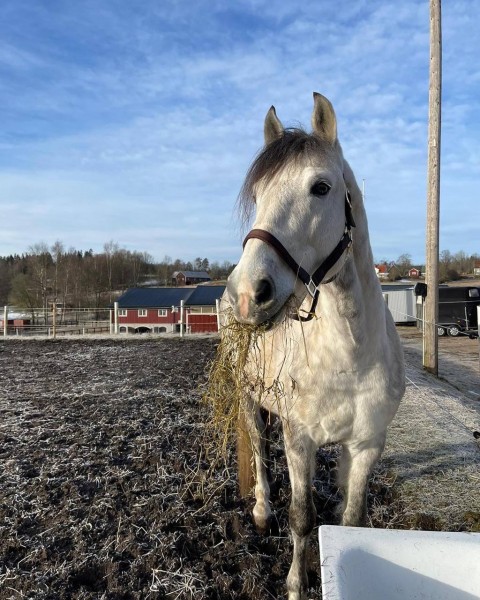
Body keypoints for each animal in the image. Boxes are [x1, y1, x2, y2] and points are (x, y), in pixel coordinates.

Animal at [225, 94, 404, 600]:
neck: (349, 356)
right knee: (260, 450)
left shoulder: (366, 445)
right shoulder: (299, 439)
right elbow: (302, 519)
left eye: (320, 187)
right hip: (248, 400)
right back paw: (261, 510)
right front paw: (294, 585)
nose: (248, 293)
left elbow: (351, 519)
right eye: (258, 195)